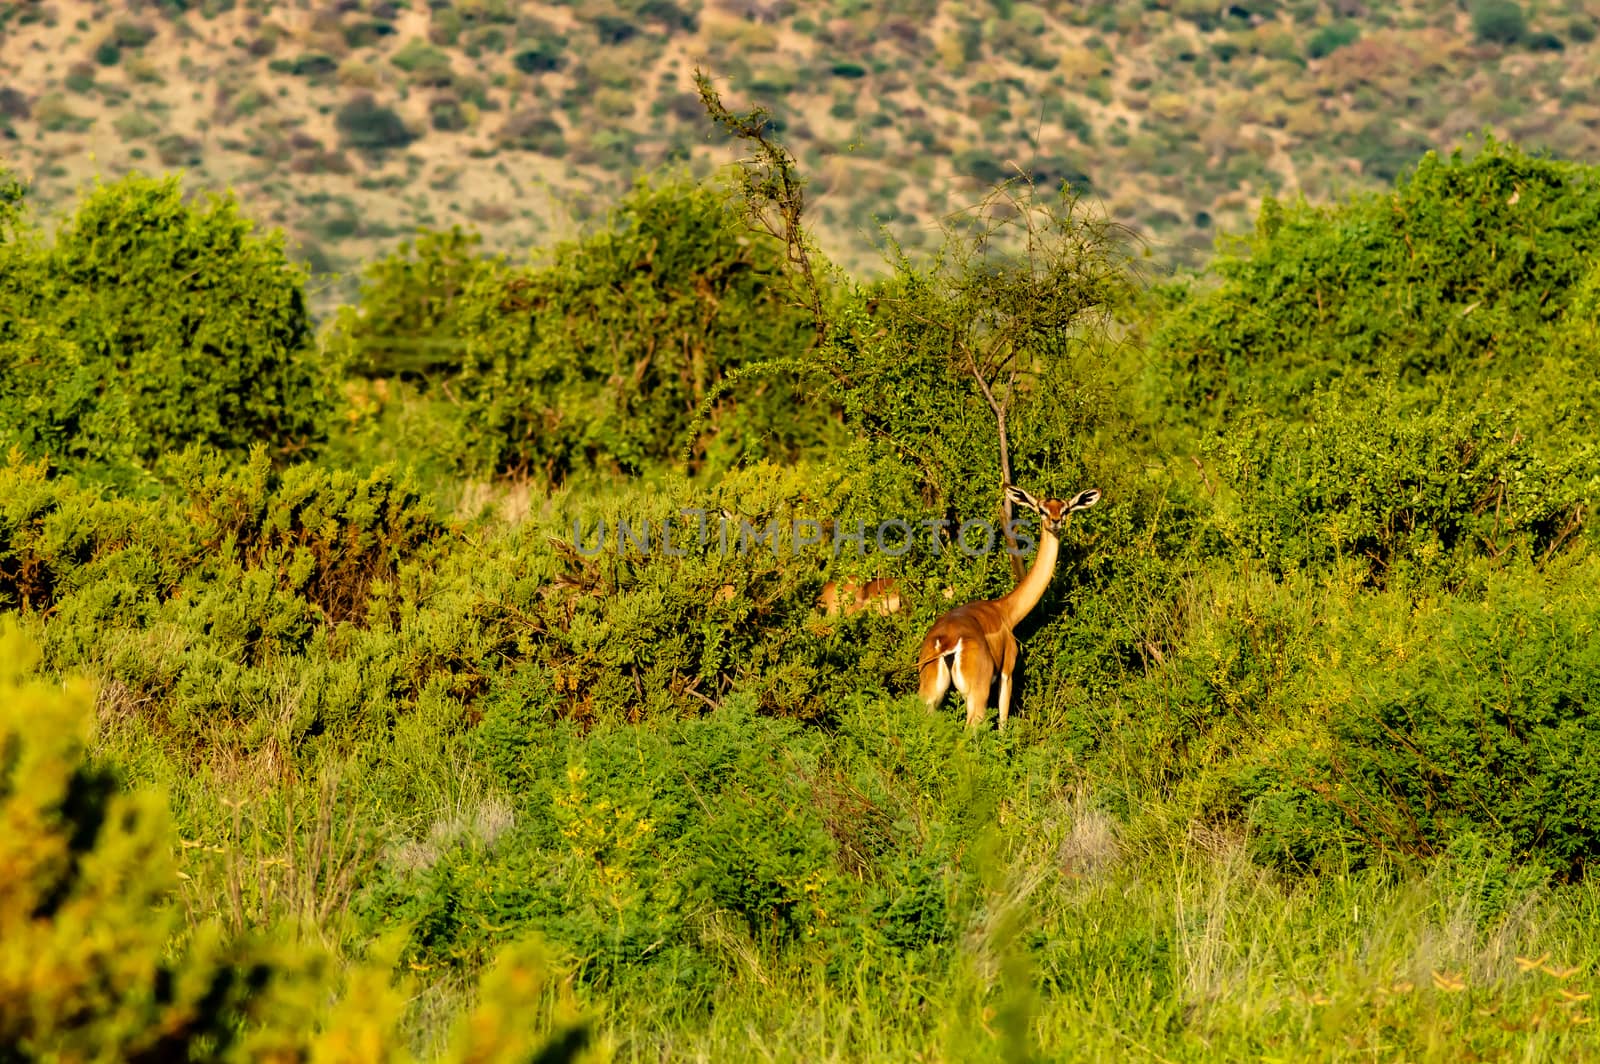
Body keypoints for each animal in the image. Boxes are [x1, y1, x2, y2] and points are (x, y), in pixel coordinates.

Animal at [915, 486, 1100, 729]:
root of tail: (946, 642)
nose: (1055, 521)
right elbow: (1003, 722)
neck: (1006, 610)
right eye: (1041, 509)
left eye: (1065, 509)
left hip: (930, 695)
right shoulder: (1006, 673)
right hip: (977, 696)